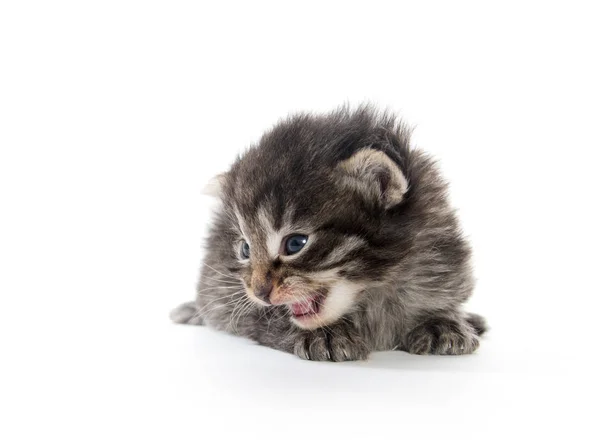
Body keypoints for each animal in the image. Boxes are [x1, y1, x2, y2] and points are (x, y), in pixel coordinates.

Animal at [170, 106, 488, 360]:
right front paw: (327, 333)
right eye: (245, 249)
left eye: (295, 243)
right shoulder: (236, 299)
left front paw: (441, 323)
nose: (259, 292)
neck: (374, 289)